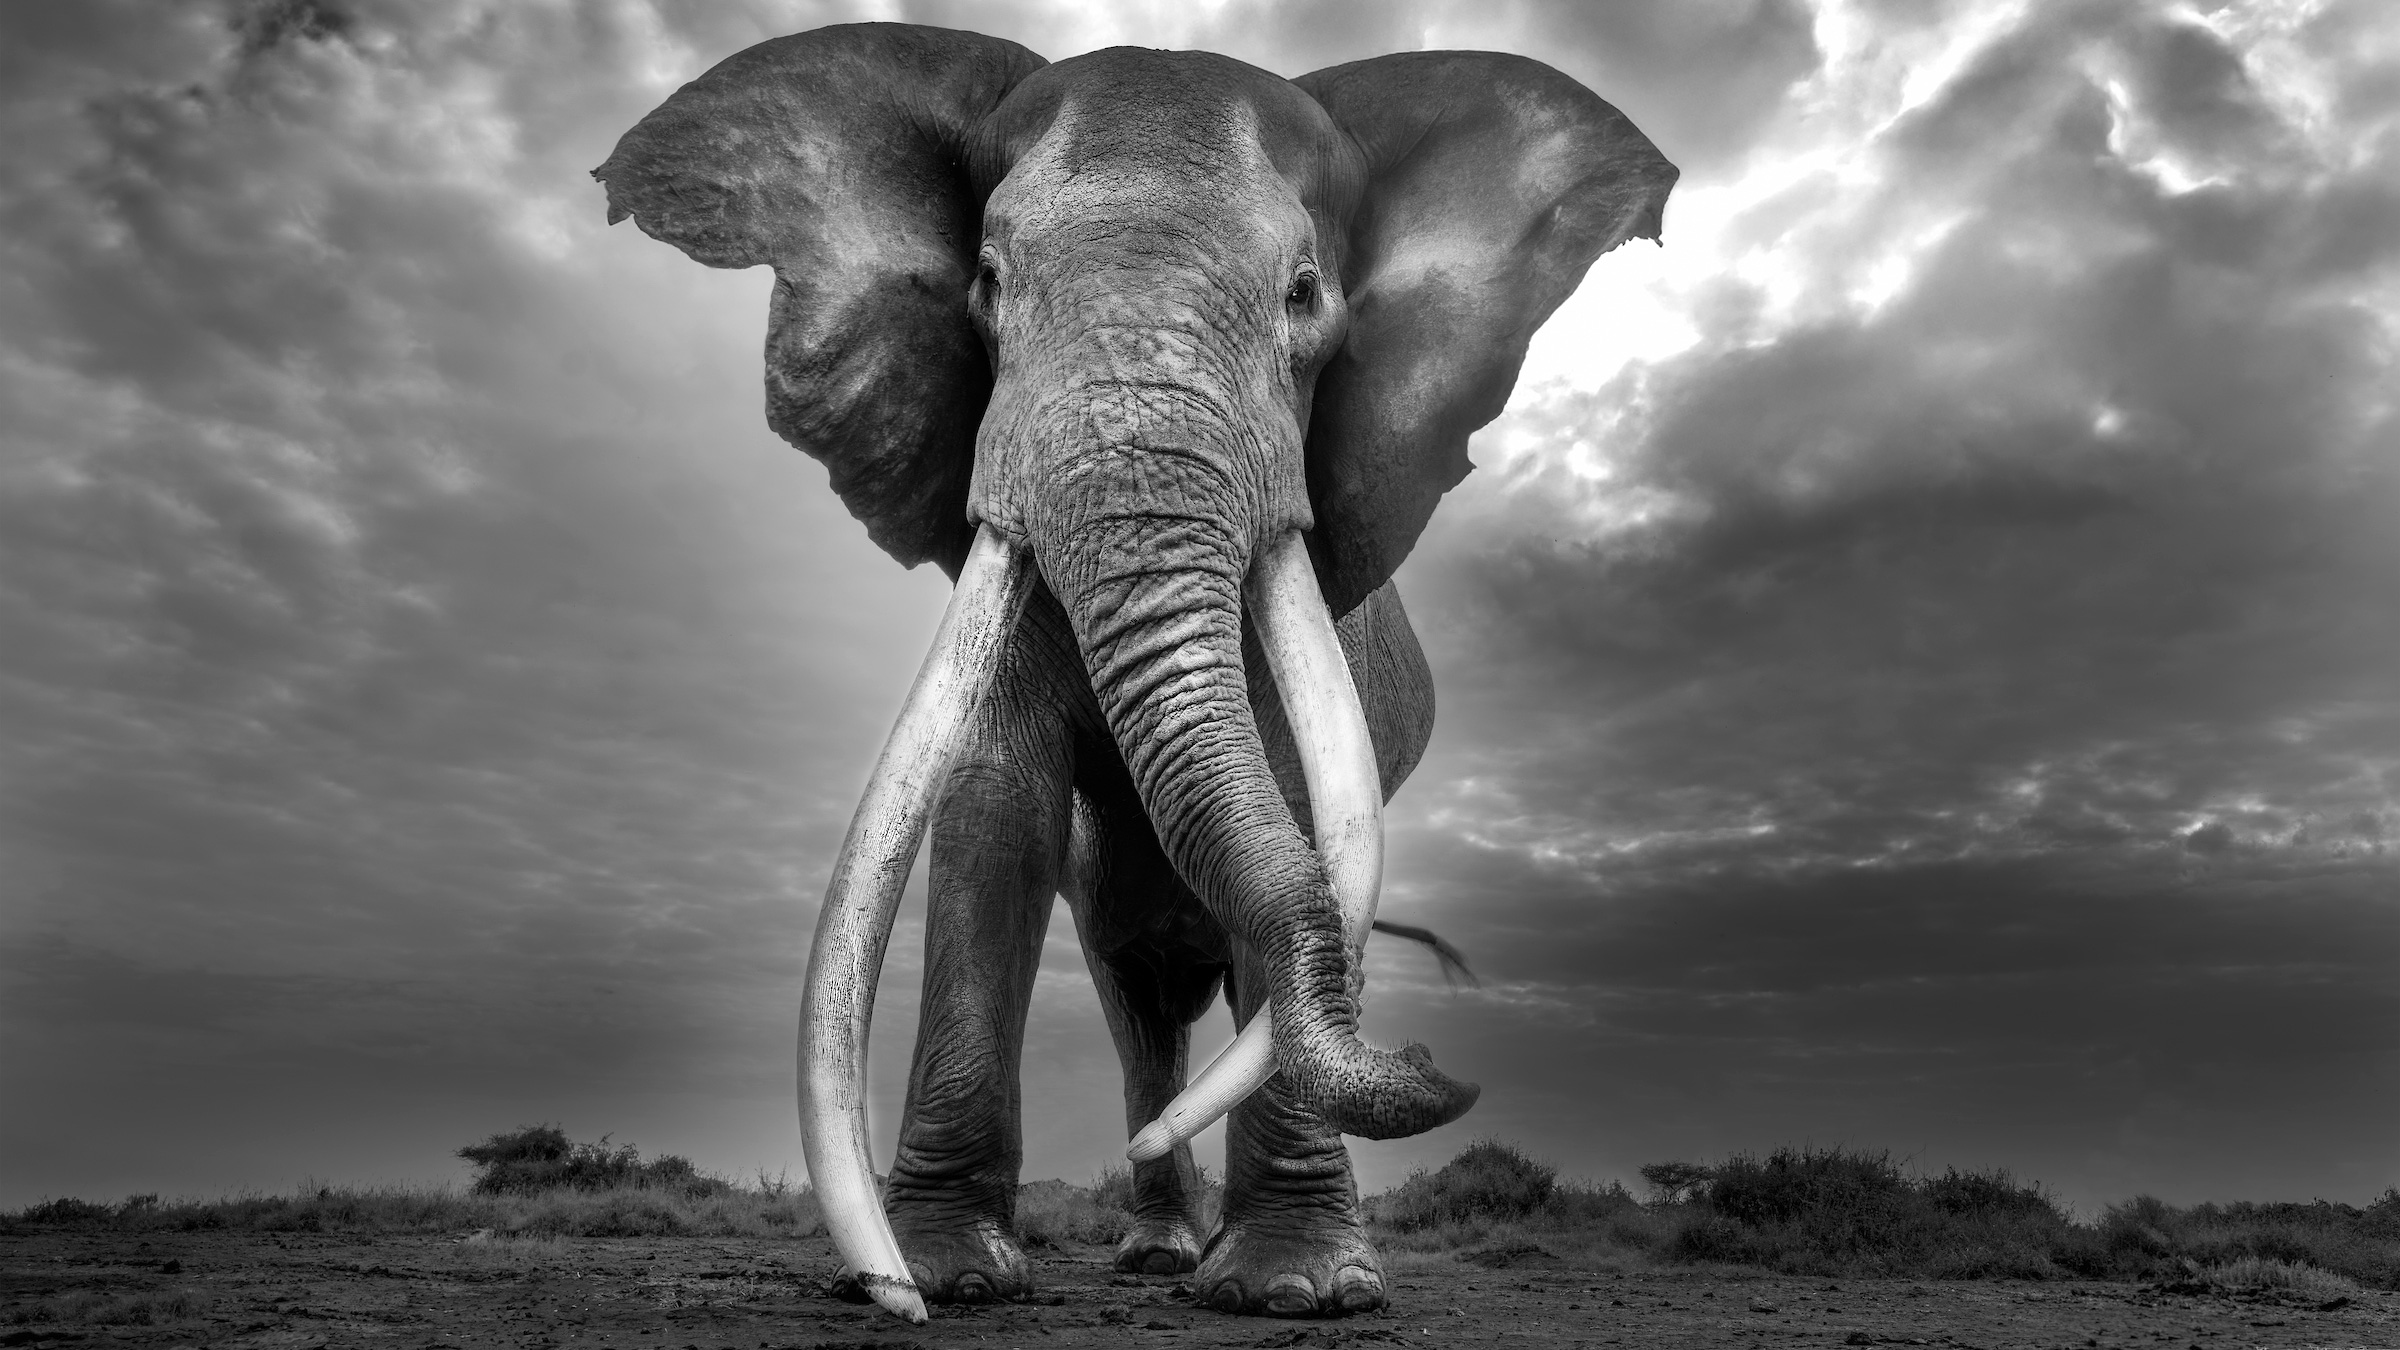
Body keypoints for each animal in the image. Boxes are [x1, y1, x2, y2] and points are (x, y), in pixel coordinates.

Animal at [595, 22, 1674, 1323]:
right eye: (987, 285)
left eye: (1304, 294)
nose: (1431, 1061)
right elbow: (992, 810)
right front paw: (946, 1278)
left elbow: (1300, 804)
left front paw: (1295, 1291)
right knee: (1138, 1006)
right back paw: (1157, 1249)